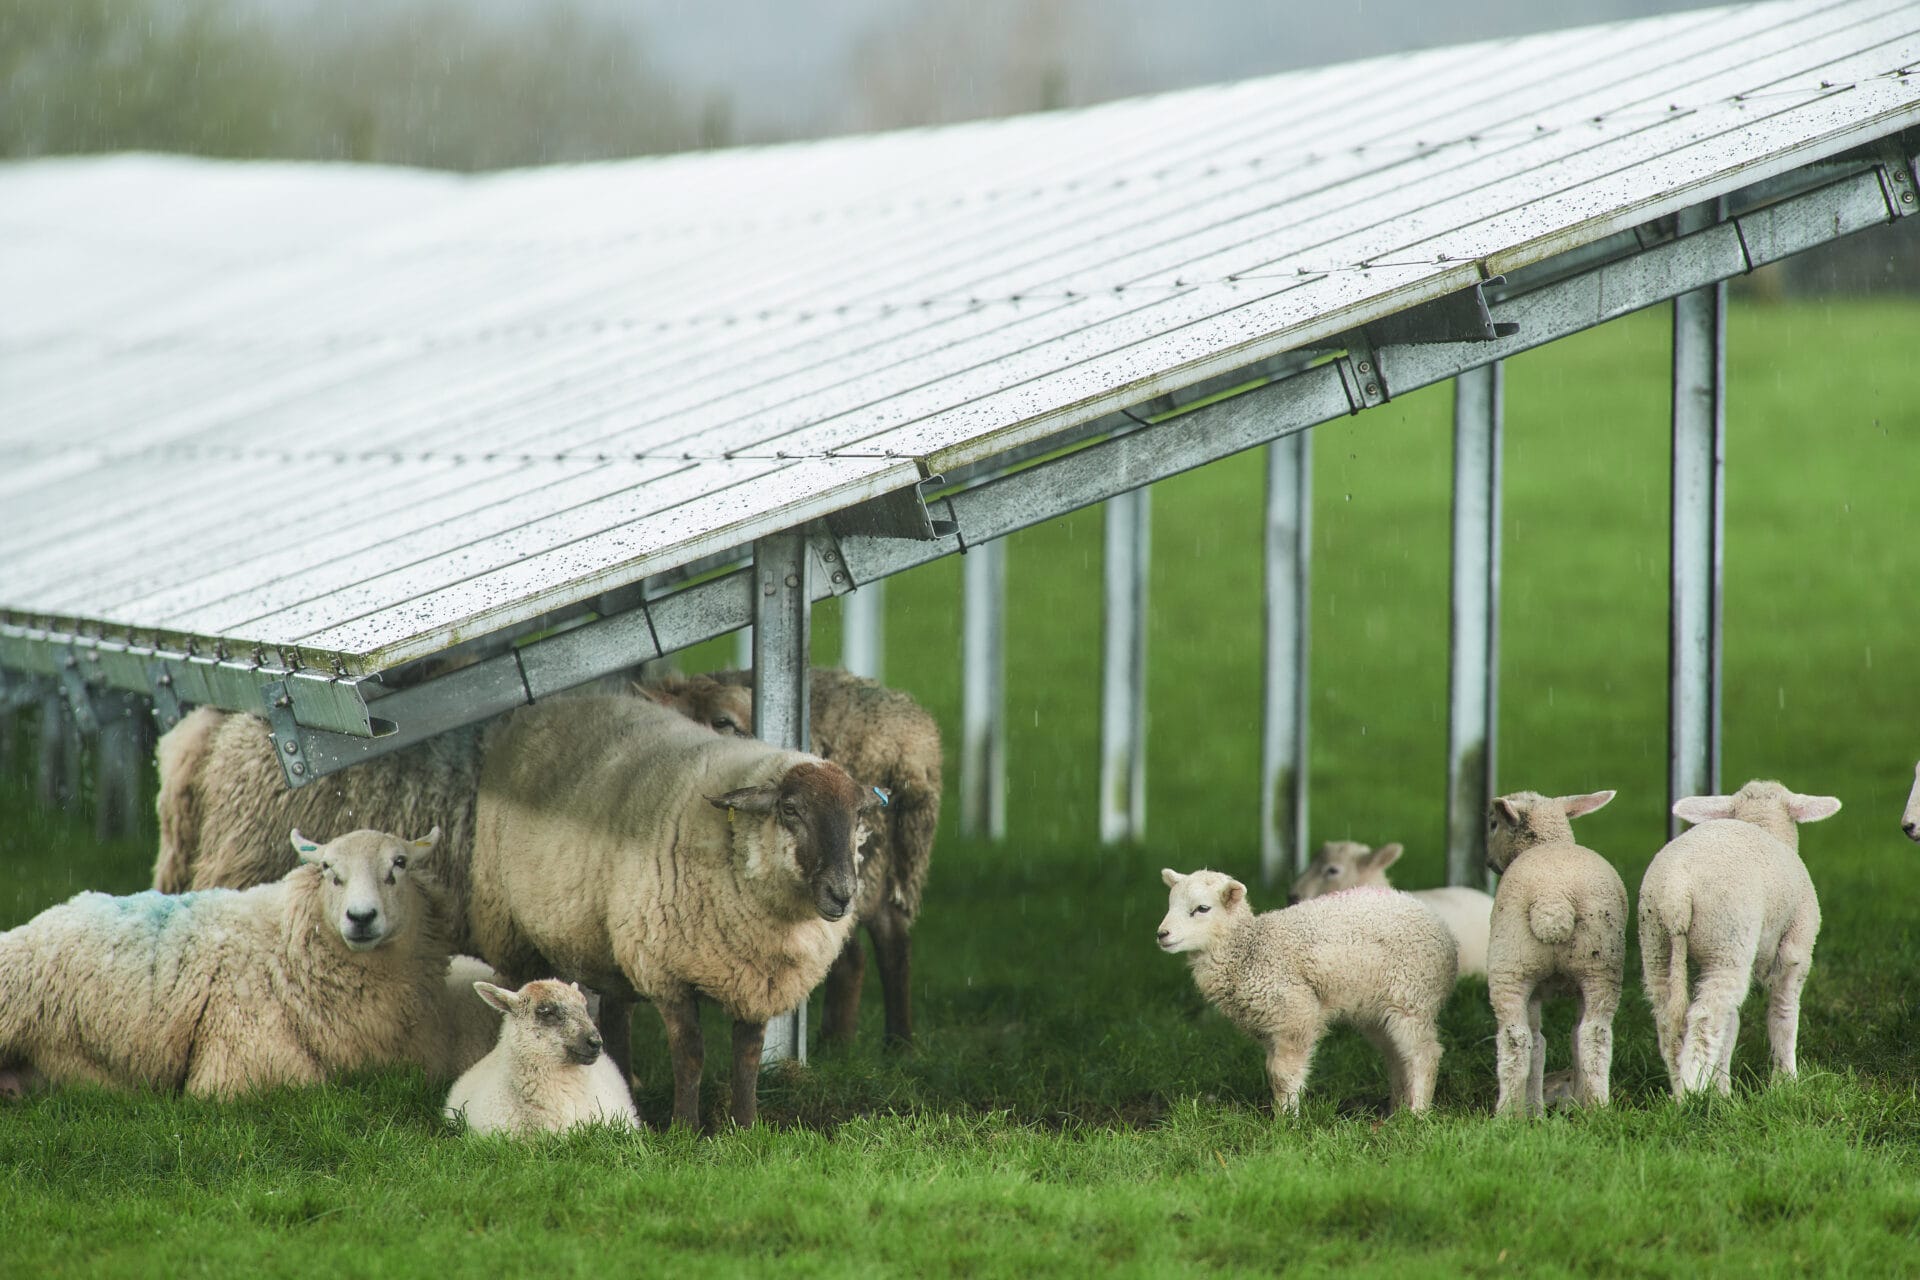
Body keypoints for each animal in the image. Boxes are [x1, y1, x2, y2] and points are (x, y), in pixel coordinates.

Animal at [471, 693, 883, 1130]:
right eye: (790, 809)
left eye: (859, 814)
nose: (842, 894)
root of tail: (551, 703)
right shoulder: (666, 971)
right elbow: (690, 1054)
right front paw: (685, 1127)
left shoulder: (759, 978)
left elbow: (748, 1055)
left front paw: (745, 1124)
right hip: (509, 928)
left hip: (611, 943)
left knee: (616, 1014)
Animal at [639, 667, 942, 1050]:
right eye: (723, 720)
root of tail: (911, 752)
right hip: (880, 862)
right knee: (894, 942)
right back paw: (897, 1043)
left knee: (852, 956)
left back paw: (837, 1043)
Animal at [1156, 869, 1455, 1115]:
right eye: (1170, 904)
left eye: (1202, 908)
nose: (1162, 934)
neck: (1248, 949)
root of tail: (1444, 932)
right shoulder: (1271, 1024)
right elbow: (1273, 1071)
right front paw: (1282, 1115)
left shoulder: (1295, 1014)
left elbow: (1283, 1074)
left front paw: (1287, 1123)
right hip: (1377, 1011)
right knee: (1397, 1056)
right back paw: (1397, 1111)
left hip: (1411, 997)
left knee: (1424, 1054)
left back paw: (1417, 1114)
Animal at [1484, 789, 1626, 1116]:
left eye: (1493, 824)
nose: (1488, 863)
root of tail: (1553, 898)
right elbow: (1565, 1037)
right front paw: (1564, 1104)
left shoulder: (1534, 990)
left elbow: (1537, 1042)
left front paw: (1533, 1109)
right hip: (1601, 965)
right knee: (1594, 1034)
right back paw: (1597, 1107)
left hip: (1509, 964)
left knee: (1515, 1038)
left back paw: (1506, 1114)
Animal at [1638, 779, 1840, 1099]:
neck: (1763, 824)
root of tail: (1677, 892)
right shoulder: (1796, 947)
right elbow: (1784, 1013)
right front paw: (1786, 1081)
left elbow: (1731, 1025)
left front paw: (1722, 1087)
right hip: (1727, 937)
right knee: (1706, 1017)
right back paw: (1693, 1089)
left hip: (1657, 942)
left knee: (1669, 1020)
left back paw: (1680, 1088)